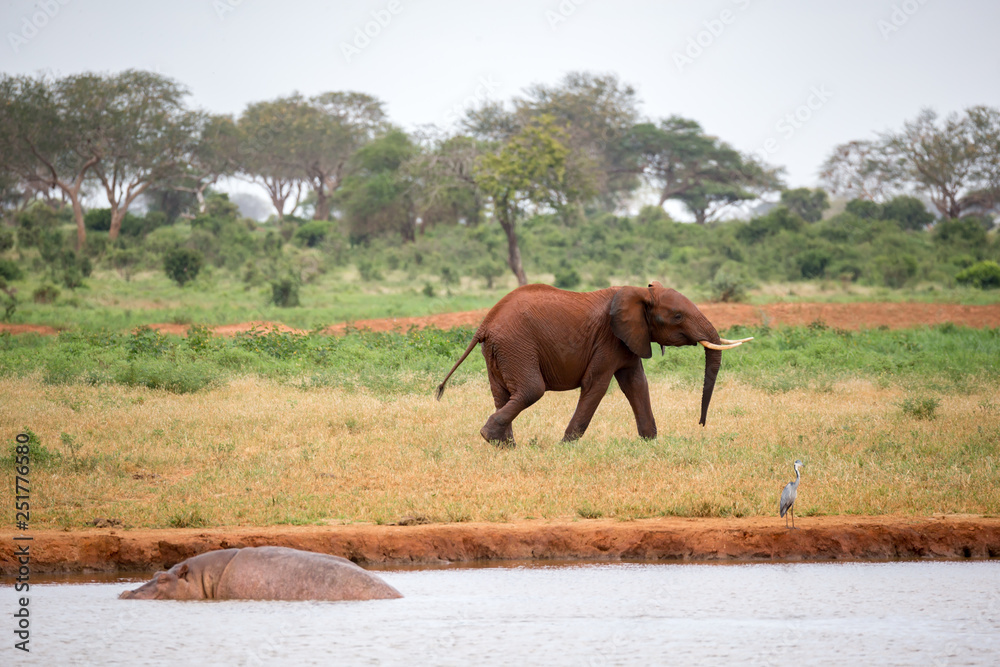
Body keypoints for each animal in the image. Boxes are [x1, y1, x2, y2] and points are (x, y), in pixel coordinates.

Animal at [436, 282, 750, 447]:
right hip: (516, 345)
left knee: (503, 393)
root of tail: (485, 323)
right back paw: (490, 437)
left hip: (499, 351)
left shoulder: (629, 339)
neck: (640, 291)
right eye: (677, 317)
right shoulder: (608, 339)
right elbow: (596, 386)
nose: (701, 424)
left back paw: (504, 446)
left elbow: (637, 384)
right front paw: (566, 446)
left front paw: (650, 442)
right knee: (531, 390)